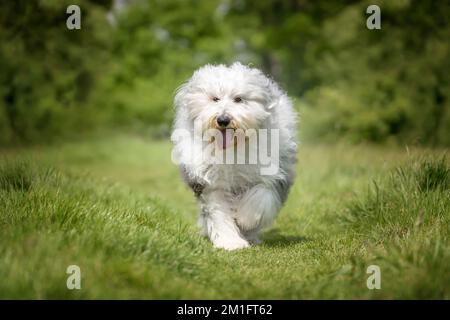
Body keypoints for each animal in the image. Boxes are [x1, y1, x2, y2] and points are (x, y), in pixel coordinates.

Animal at [171, 62, 298, 250]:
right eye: (215, 99)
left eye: (238, 99)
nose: (223, 120)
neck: (232, 149)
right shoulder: (212, 183)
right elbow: (219, 213)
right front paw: (231, 243)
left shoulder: (274, 173)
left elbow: (262, 194)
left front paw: (246, 218)